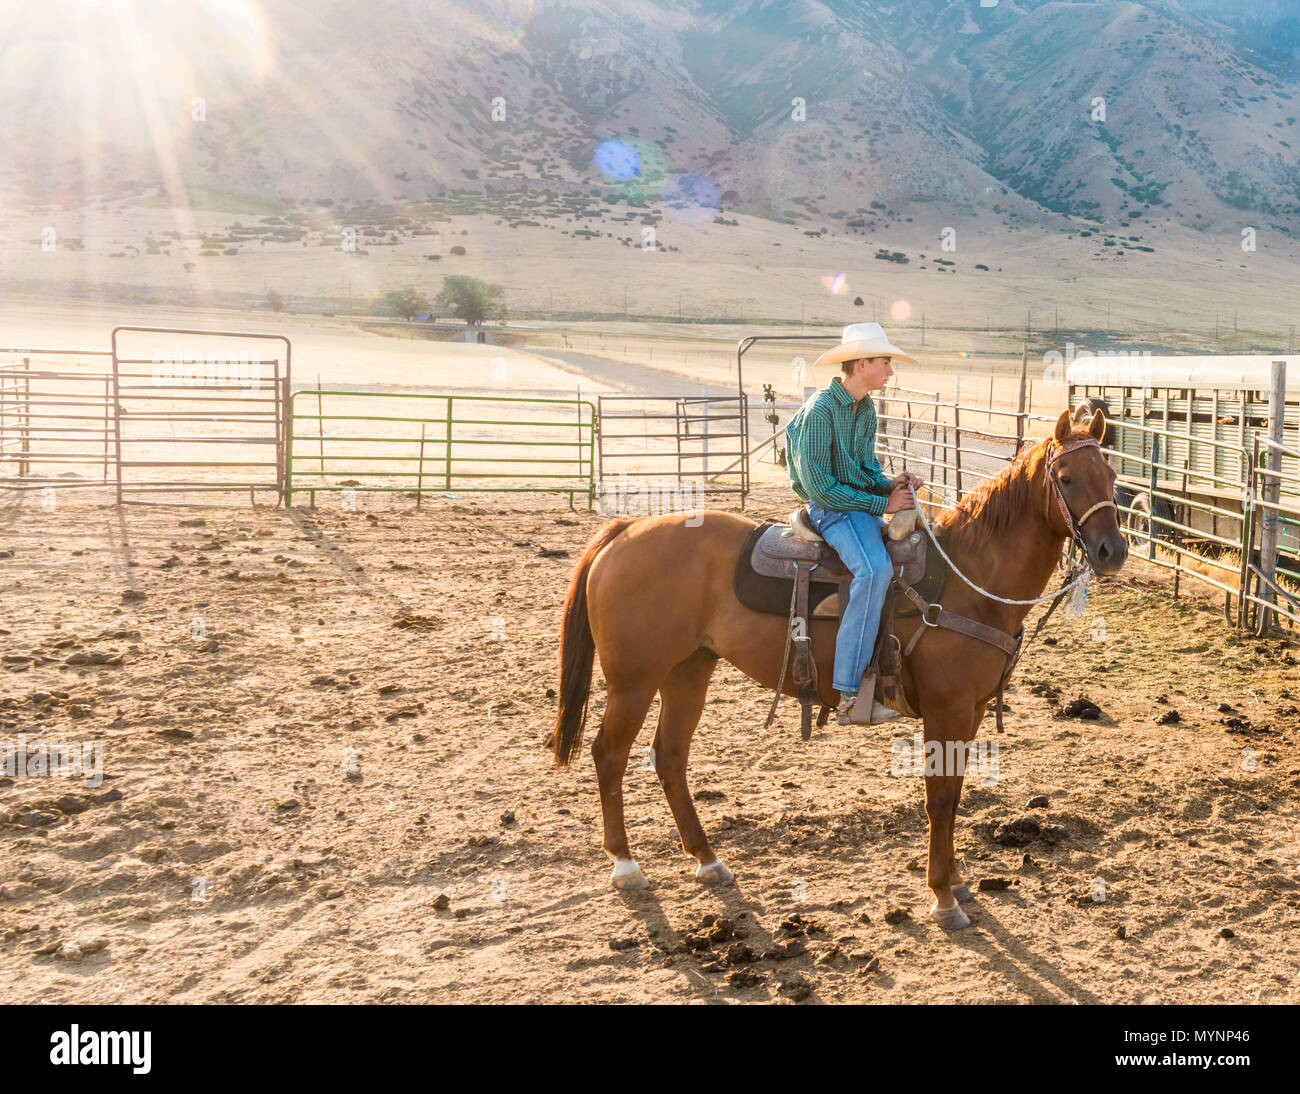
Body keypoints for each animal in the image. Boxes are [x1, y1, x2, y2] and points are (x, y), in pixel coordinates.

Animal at [548, 405, 1128, 925]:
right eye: (1068, 478)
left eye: (1113, 475)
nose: (1112, 551)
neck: (970, 578)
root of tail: (626, 530)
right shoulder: (948, 710)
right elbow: (940, 799)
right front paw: (943, 896)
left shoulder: (973, 711)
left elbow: (956, 793)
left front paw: (959, 883)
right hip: (634, 681)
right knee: (609, 755)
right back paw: (626, 865)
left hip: (689, 669)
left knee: (669, 756)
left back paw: (708, 859)